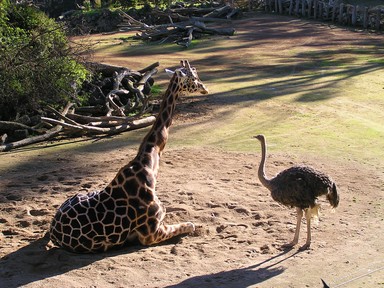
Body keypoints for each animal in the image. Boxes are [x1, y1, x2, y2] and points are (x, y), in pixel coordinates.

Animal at [50, 60, 210, 252]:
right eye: (194, 77)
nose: (205, 88)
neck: (148, 164)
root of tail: (53, 231)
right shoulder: (152, 233)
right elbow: (191, 225)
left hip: (81, 193)